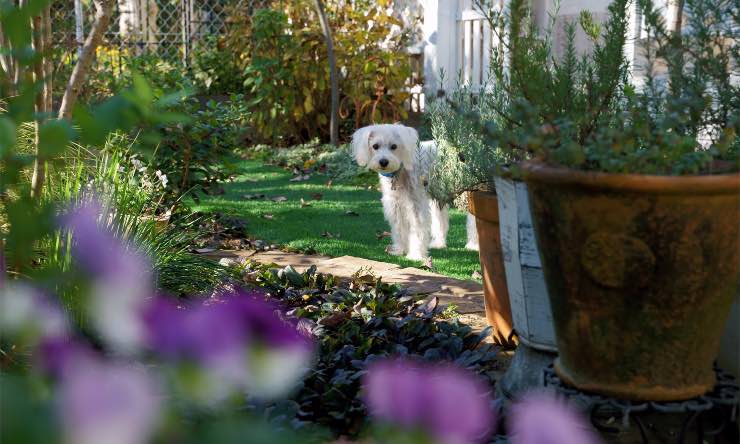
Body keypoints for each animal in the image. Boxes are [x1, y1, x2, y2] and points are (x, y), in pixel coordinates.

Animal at [352, 122, 480, 260]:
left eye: (394, 146)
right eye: (375, 146)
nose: (383, 162)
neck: (400, 171)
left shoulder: (416, 205)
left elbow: (417, 229)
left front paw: (416, 255)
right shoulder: (395, 205)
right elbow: (399, 229)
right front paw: (400, 250)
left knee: (473, 220)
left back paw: (474, 245)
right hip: (438, 198)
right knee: (440, 221)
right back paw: (438, 244)